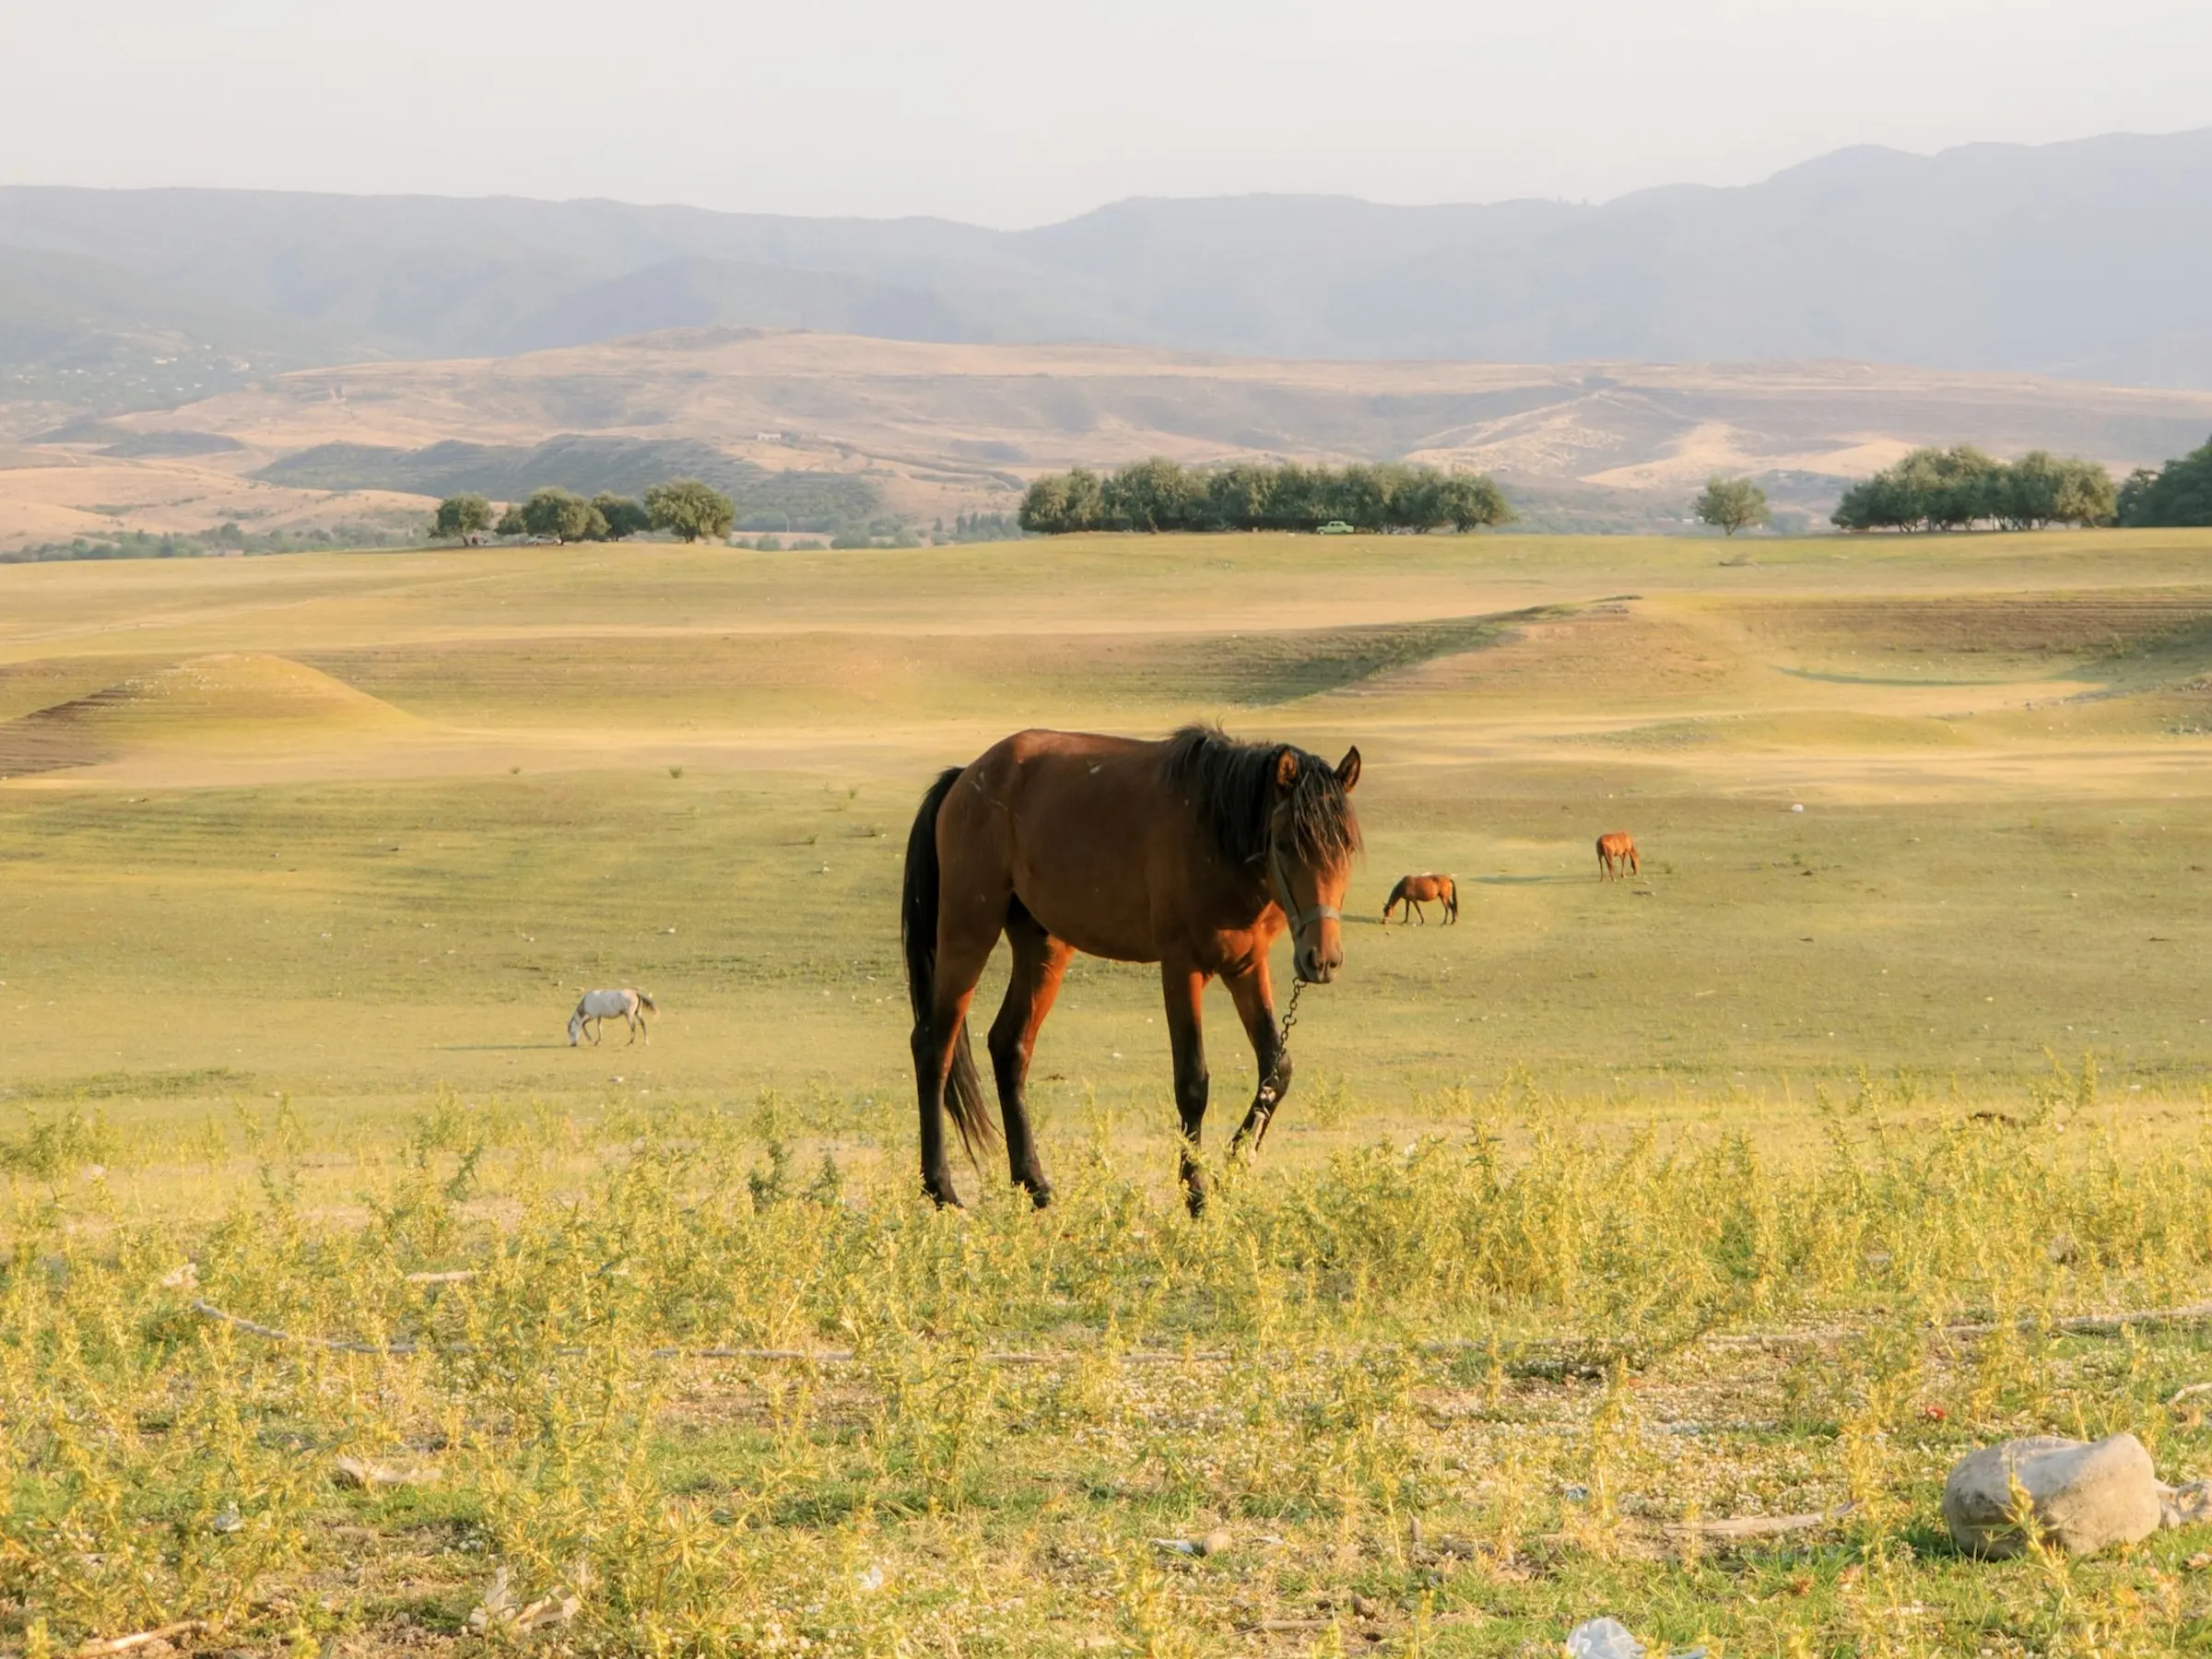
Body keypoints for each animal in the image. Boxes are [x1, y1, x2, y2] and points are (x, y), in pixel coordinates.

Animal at [902, 721, 1353, 1212]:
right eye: (1287, 844)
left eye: (1346, 848)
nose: (1322, 959)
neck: (1214, 831)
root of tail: (967, 777)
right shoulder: (1181, 967)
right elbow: (1192, 1082)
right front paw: (1196, 1191)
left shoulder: (1247, 967)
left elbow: (1276, 1068)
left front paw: (1233, 1163)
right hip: (968, 931)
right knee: (934, 1045)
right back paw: (941, 1188)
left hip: (1043, 946)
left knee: (1010, 1046)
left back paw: (1033, 1183)